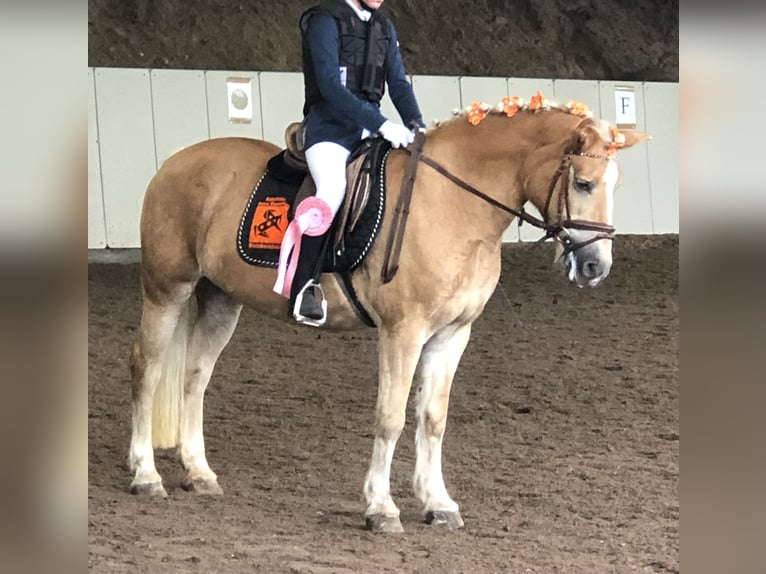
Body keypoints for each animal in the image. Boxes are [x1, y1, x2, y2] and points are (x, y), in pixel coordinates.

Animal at [129, 95, 652, 536]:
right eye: (582, 183)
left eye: (616, 184)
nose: (595, 267)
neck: (454, 204)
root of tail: (177, 160)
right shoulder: (403, 332)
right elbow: (391, 417)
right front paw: (381, 508)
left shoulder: (452, 334)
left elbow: (433, 417)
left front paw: (438, 504)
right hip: (167, 289)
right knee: (147, 369)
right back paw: (145, 475)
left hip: (221, 298)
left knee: (195, 377)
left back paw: (199, 474)